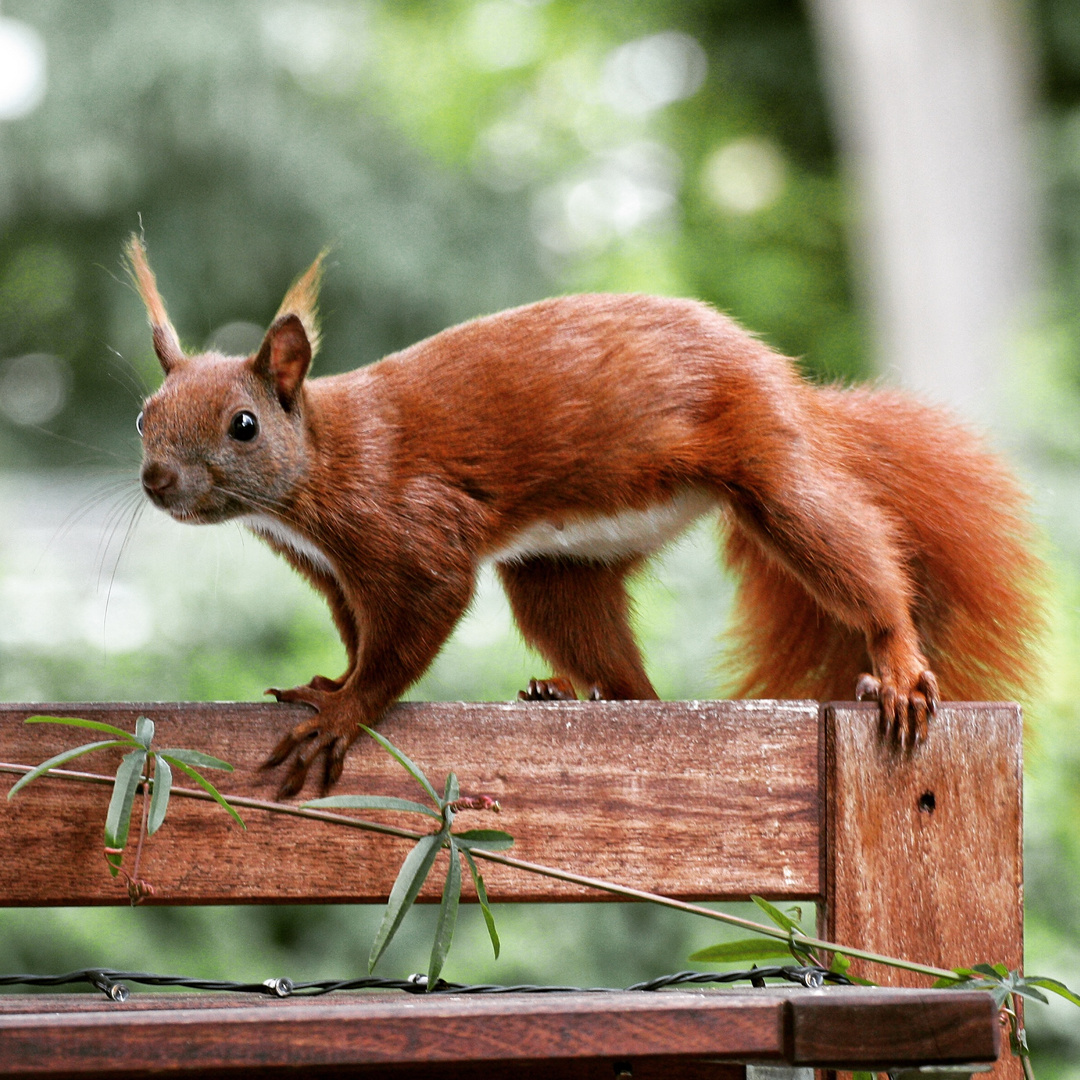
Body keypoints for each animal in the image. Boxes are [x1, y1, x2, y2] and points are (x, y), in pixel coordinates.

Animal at [126, 236, 1045, 794]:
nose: (157, 479)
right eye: (144, 413)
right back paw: (567, 692)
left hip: (772, 478)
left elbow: (410, 630)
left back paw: (895, 662)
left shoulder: (410, 530)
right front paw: (332, 684)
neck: (319, 465)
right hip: (562, 571)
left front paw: (342, 716)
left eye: (244, 425)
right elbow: (359, 637)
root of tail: (789, 388)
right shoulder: (334, 572)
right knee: (635, 685)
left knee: (851, 556)